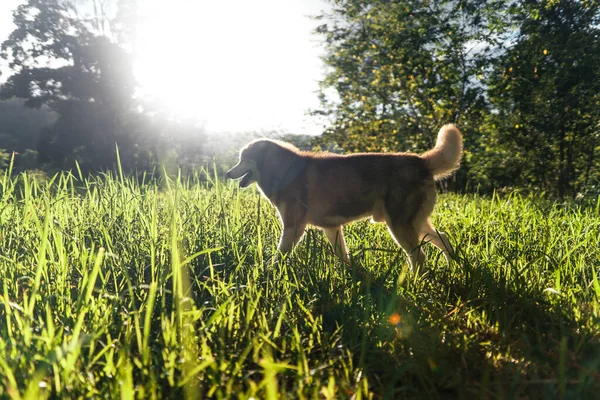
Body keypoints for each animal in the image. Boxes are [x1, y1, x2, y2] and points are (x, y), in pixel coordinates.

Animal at [227, 125, 462, 268]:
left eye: (243, 159)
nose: (228, 173)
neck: (282, 171)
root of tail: (421, 161)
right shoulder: (332, 228)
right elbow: (344, 258)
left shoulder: (294, 227)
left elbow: (279, 256)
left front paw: (269, 273)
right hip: (415, 224)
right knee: (443, 238)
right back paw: (453, 265)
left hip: (400, 226)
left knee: (419, 257)